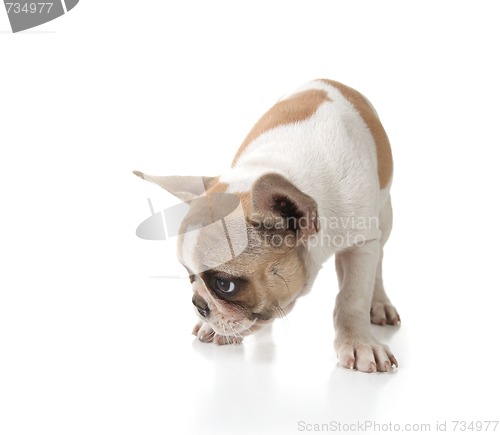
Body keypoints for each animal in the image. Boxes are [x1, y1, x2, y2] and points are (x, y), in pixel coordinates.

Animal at [133, 78, 398, 372]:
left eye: (225, 285)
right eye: (190, 275)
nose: (198, 304)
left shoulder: (361, 245)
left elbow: (352, 297)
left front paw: (359, 343)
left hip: (384, 217)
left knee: (378, 262)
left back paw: (379, 303)